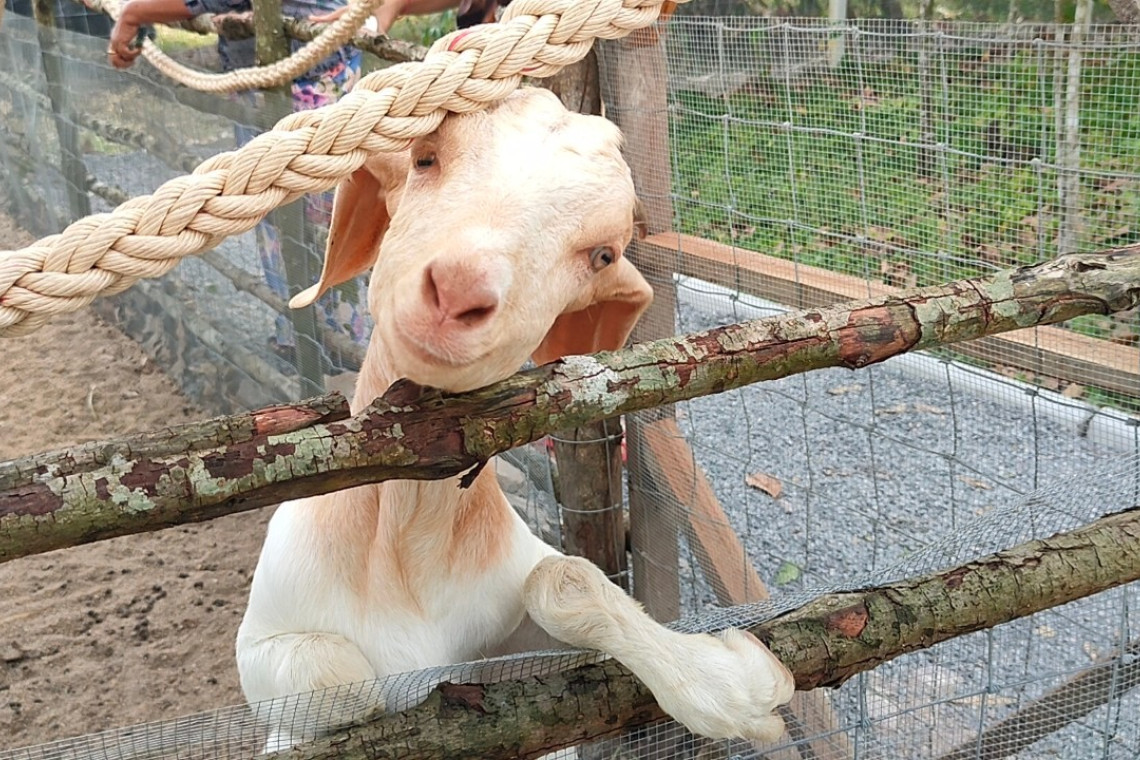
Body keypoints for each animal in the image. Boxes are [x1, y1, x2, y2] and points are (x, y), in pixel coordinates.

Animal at [235, 87, 795, 752]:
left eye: (602, 253)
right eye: (425, 157)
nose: (457, 292)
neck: (404, 546)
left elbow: (562, 579)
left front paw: (735, 683)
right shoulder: (262, 644)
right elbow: (337, 673)